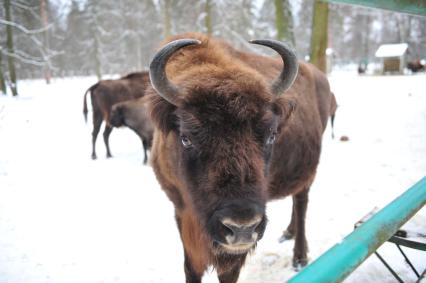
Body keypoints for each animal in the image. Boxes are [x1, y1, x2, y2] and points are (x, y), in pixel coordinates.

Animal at [146, 33, 336, 283]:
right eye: (186, 138)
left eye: (272, 134)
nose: (242, 227)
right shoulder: (181, 210)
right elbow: (191, 267)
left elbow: (228, 272)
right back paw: (288, 232)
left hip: (308, 171)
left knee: (301, 202)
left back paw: (299, 257)